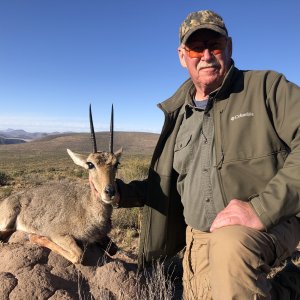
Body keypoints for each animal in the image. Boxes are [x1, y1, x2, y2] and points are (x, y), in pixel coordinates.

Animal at [0, 104, 122, 264]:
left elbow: (114, 249)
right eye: (90, 164)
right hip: (7, 220)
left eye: (117, 163)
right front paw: (36, 236)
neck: (86, 207)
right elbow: (78, 255)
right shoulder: (58, 233)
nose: (110, 192)